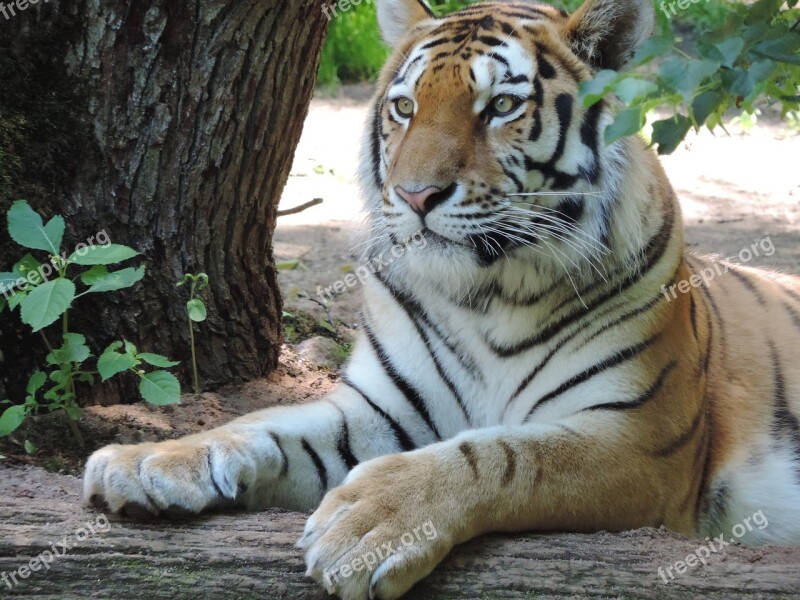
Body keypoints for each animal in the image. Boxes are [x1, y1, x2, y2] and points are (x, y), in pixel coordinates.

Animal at [83, 0, 800, 596]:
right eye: (405, 108)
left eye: (501, 107)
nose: (415, 195)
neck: (488, 293)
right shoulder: (382, 407)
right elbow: (262, 423)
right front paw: (147, 459)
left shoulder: (637, 440)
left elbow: (505, 455)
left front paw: (367, 525)